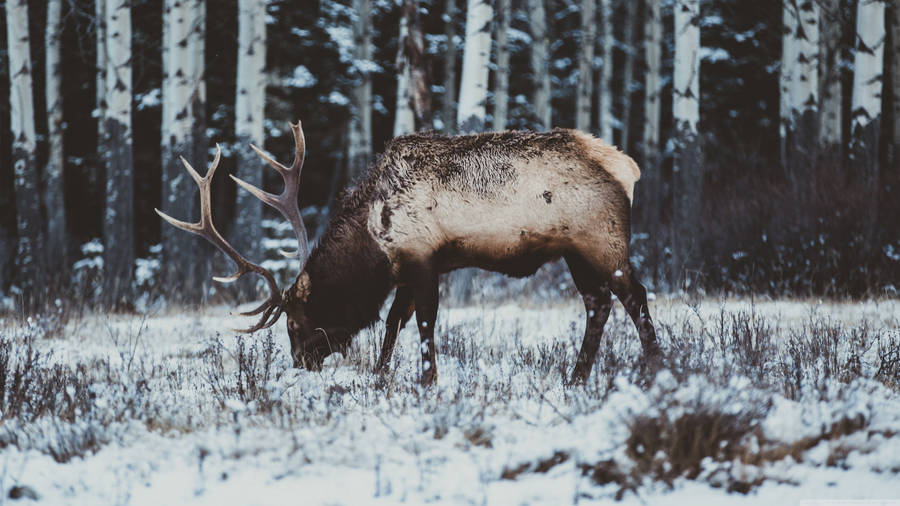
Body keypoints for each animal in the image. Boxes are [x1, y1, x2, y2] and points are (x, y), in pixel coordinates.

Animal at [156, 121, 660, 384]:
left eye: (297, 321)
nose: (301, 364)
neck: (372, 241)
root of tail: (629, 168)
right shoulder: (405, 269)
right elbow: (394, 321)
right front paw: (381, 376)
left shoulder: (423, 259)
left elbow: (423, 322)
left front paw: (426, 379)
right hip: (576, 252)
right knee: (598, 303)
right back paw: (576, 377)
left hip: (602, 240)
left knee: (634, 296)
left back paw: (654, 367)